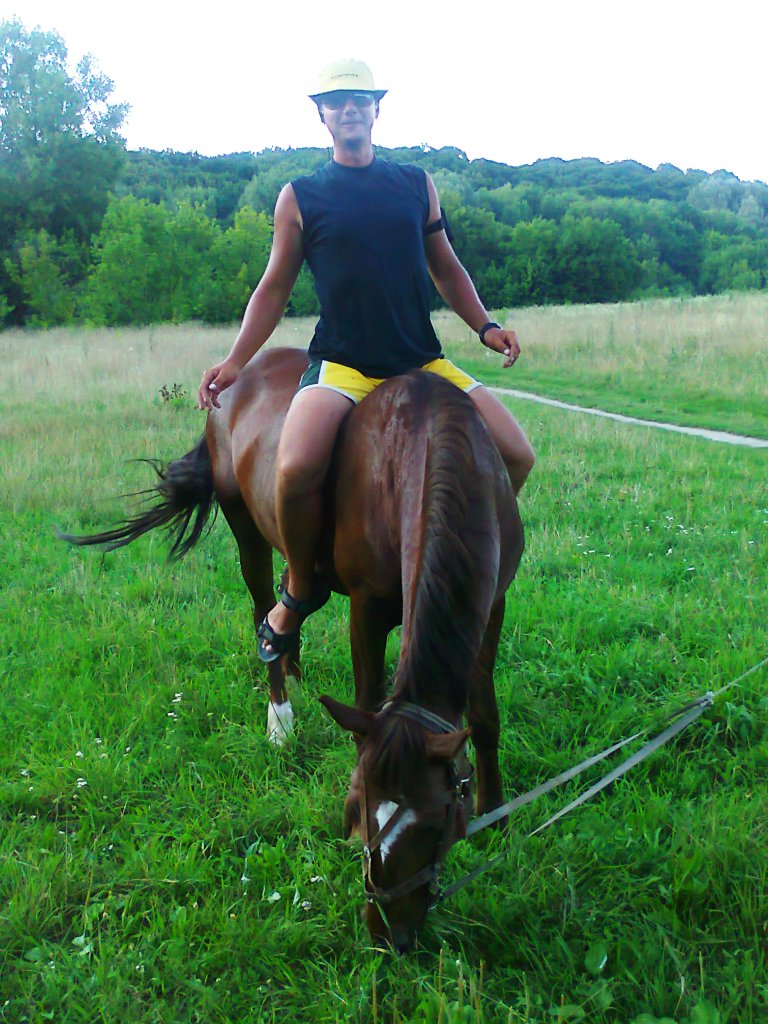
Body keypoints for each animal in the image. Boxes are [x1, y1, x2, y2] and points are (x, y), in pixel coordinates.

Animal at [61, 346, 525, 952]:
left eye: (436, 819)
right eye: (356, 809)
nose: (387, 934)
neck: (427, 453)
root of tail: (245, 371)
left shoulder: (491, 602)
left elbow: (485, 716)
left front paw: (498, 813)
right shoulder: (368, 609)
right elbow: (368, 700)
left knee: (295, 587)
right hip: (246, 525)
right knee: (265, 610)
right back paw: (280, 712)